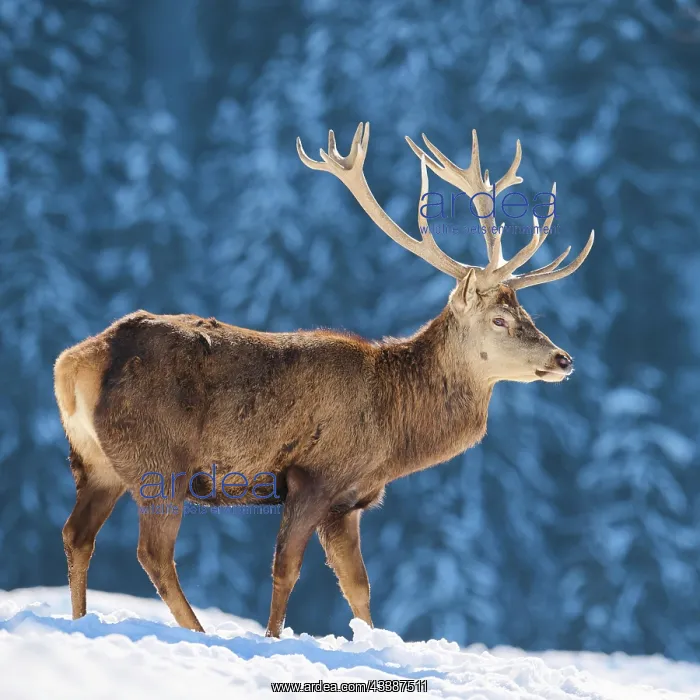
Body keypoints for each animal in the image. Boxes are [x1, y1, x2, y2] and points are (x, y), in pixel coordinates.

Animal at [54, 122, 594, 638]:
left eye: (528, 313)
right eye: (500, 320)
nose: (564, 359)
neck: (394, 431)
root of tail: (76, 362)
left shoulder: (348, 503)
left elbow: (359, 588)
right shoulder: (314, 475)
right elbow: (285, 570)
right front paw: (273, 640)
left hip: (96, 461)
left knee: (77, 534)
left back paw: (80, 620)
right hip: (159, 460)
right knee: (153, 553)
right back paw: (197, 632)